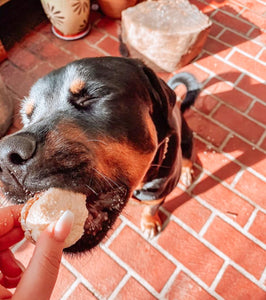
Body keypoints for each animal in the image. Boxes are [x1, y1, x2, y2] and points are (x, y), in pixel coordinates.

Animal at [0, 56, 200, 253]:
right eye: (27, 116)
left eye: (92, 96)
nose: (4, 159)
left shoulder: (157, 194)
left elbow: (151, 209)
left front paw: (149, 222)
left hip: (187, 140)